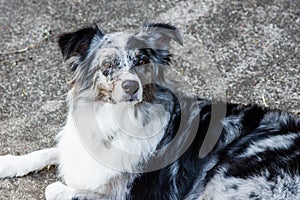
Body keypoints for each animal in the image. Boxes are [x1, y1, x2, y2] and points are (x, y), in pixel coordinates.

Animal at [0, 23, 300, 200]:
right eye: (108, 64)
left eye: (142, 61)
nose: (131, 87)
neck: (116, 119)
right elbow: (51, 150)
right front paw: (9, 162)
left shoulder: (130, 194)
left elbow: (59, 190)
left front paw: (60, 187)